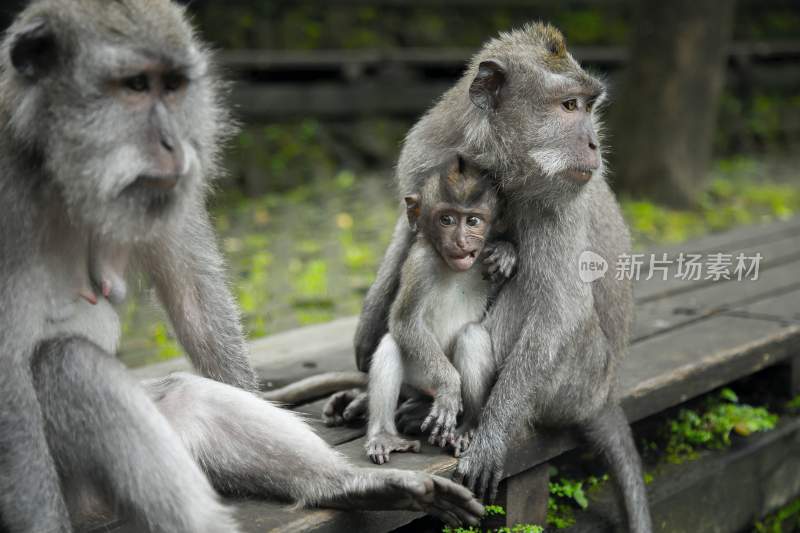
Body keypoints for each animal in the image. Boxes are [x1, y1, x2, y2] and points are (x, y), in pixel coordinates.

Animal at [0, 2, 482, 528]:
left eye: (173, 86)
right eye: (135, 86)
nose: (174, 144)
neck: (53, 162)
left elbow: (195, 302)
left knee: (184, 397)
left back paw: (349, 485)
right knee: (70, 364)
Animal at [366, 153, 516, 462]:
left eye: (473, 221)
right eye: (446, 219)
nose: (460, 241)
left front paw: (506, 252)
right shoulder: (420, 264)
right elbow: (404, 322)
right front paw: (448, 387)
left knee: (472, 335)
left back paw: (469, 425)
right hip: (421, 376)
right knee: (391, 344)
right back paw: (385, 435)